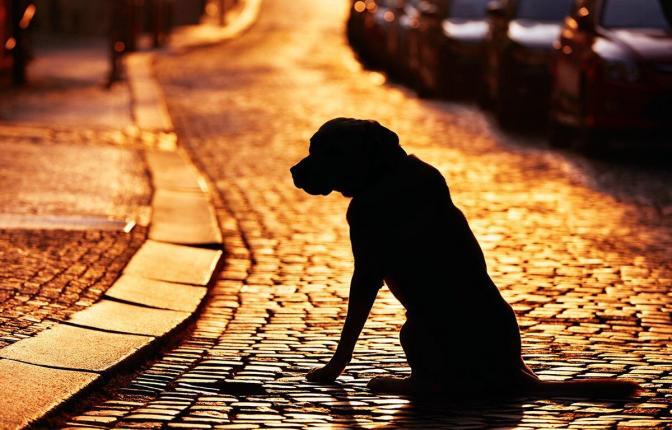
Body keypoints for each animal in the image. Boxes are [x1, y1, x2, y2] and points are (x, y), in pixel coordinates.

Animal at [292, 116, 636, 396]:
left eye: (333, 151)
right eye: (312, 146)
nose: (294, 171)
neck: (384, 173)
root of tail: (517, 373)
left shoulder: (365, 272)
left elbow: (349, 331)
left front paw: (328, 372)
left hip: (413, 326)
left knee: (432, 385)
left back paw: (390, 383)